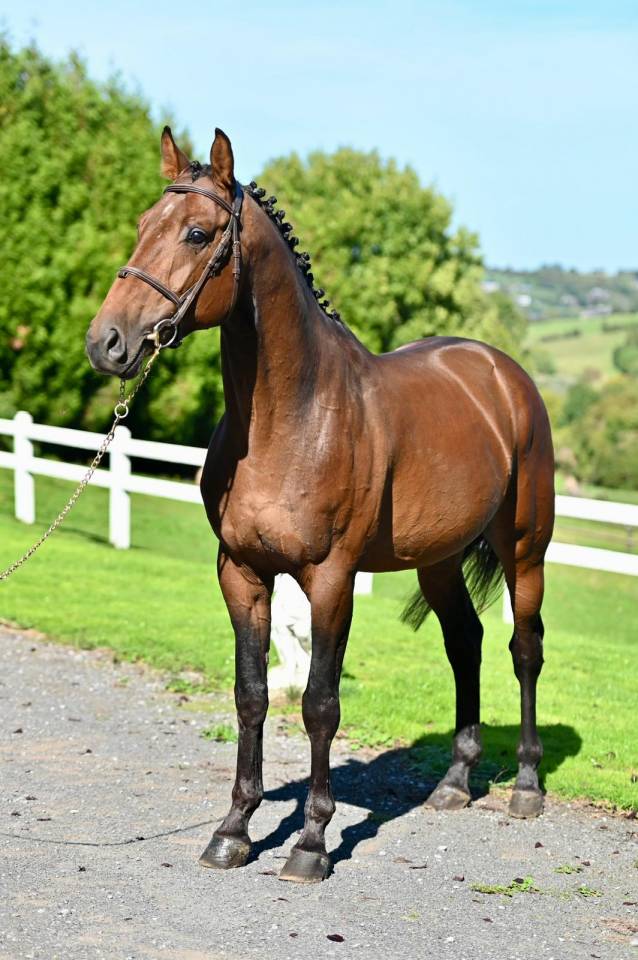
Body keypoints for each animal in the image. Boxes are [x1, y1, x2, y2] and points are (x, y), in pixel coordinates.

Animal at [86, 127, 555, 883]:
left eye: (197, 232)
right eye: (141, 225)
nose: (107, 343)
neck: (295, 417)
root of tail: (501, 374)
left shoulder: (331, 579)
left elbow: (319, 704)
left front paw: (310, 843)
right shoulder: (241, 572)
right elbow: (251, 696)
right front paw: (234, 831)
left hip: (524, 551)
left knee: (524, 649)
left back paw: (527, 788)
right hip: (438, 561)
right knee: (465, 643)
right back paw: (455, 782)